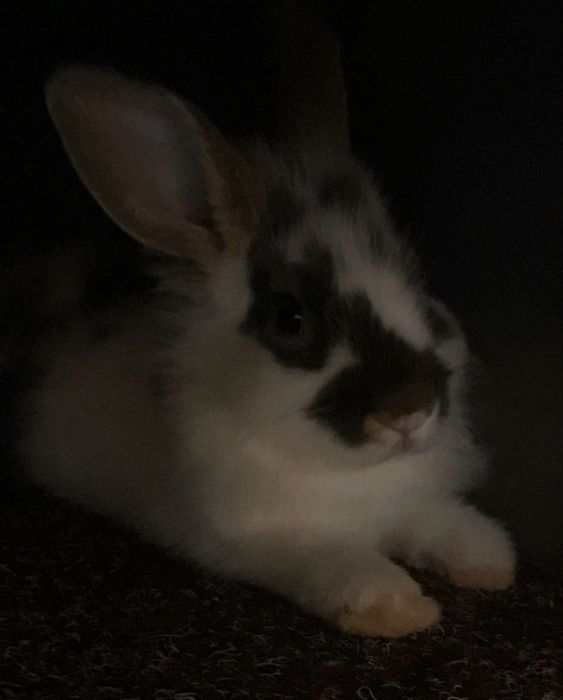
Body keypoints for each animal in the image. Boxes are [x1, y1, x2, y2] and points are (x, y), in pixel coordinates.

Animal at [13, 8, 515, 637]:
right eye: (288, 318)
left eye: (415, 282)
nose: (411, 410)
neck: (352, 475)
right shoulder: (270, 541)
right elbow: (341, 561)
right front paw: (397, 610)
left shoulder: (414, 502)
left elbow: (436, 521)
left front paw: (489, 561)